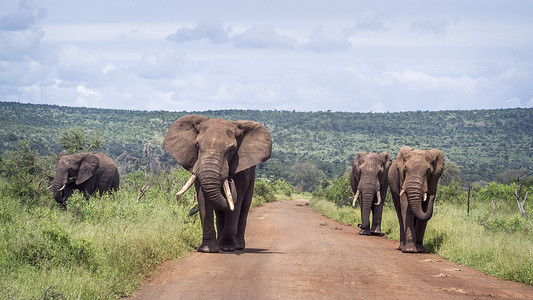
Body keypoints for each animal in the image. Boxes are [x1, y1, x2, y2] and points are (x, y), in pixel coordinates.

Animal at [161, 115, 270, 253]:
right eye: (197, 145)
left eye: (232, 149)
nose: (230, 180)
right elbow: (203, 198)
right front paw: (207, 249)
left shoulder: (240, 169)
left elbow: (236, 202)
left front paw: (228, 248)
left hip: (252, 177)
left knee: (244, 206)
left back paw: (238, 246)